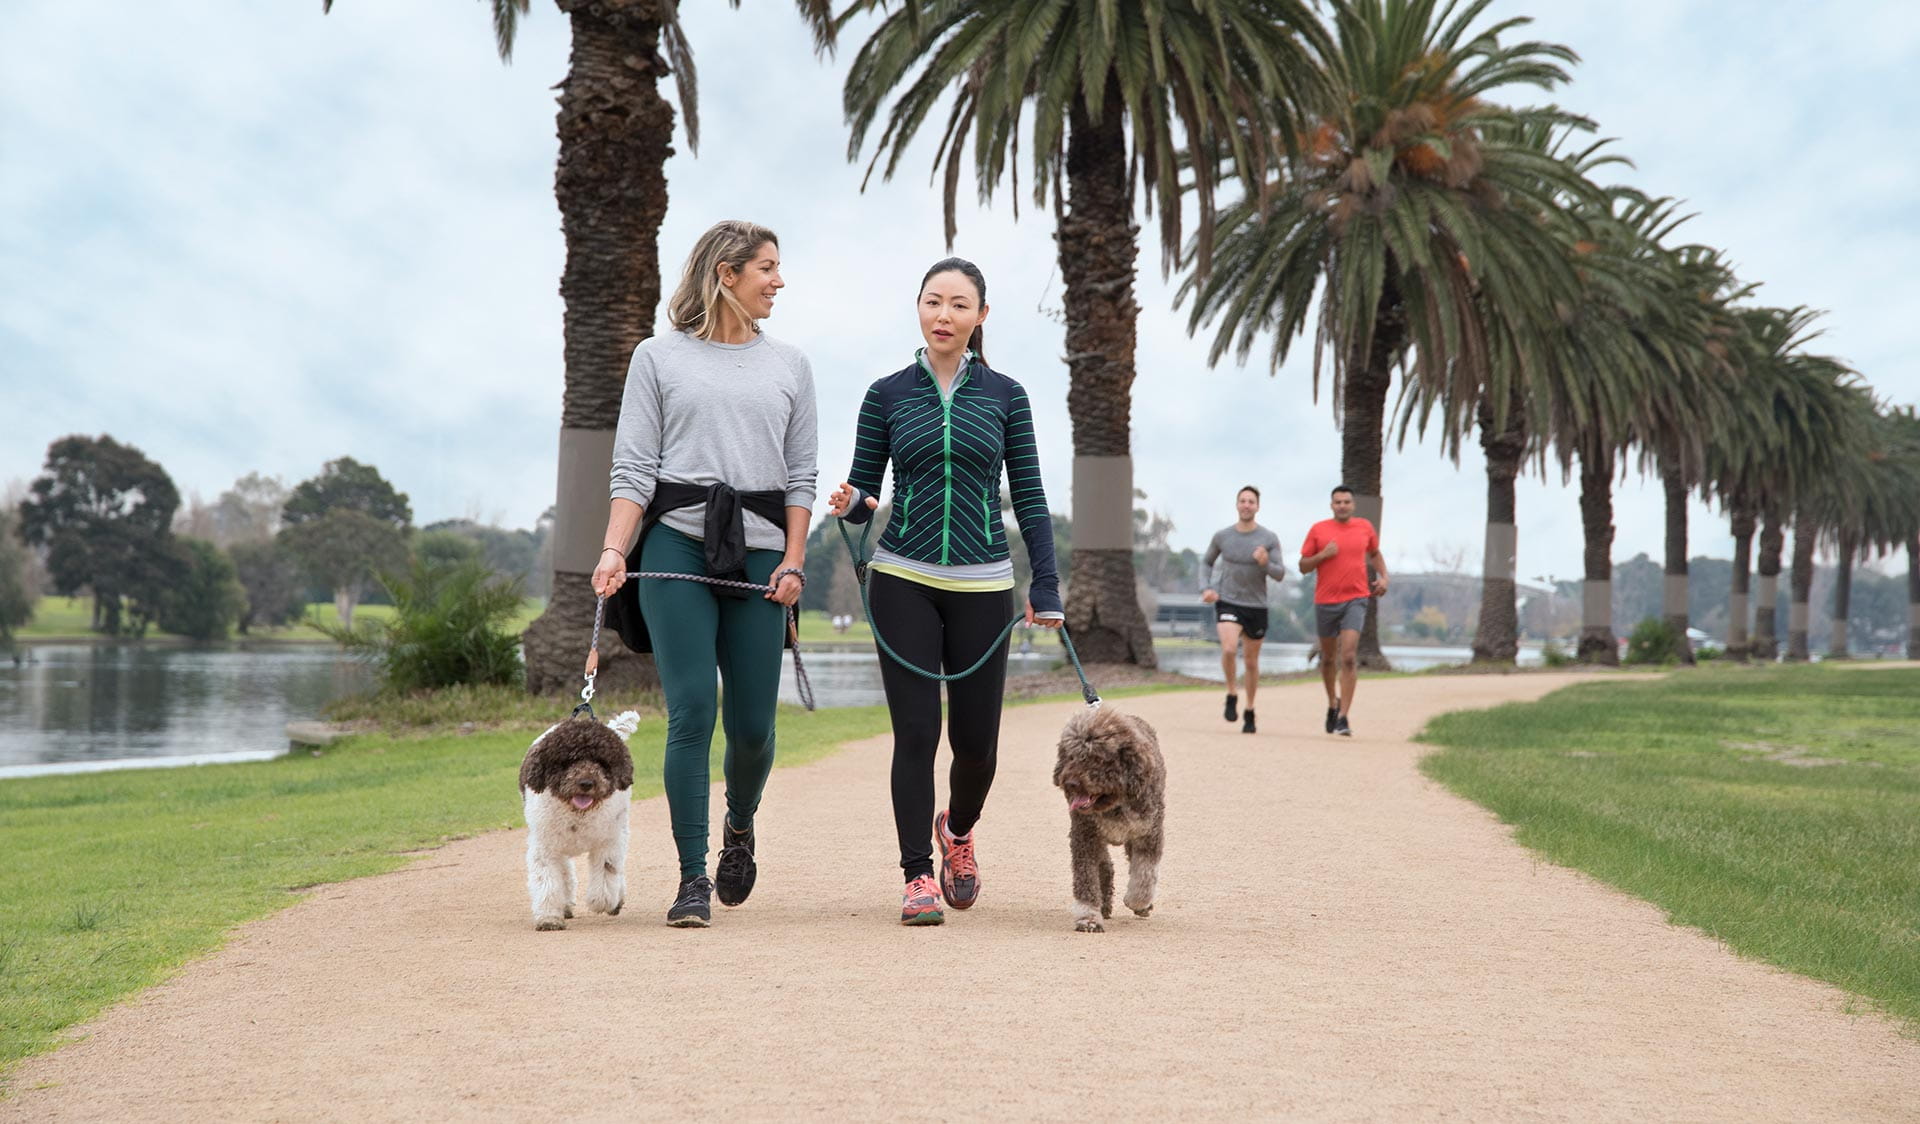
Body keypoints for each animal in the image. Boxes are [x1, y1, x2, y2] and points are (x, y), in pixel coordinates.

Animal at [1052, 699, 1167, 929]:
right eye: (1070, 756)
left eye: (1096, 758)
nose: (1070, 782)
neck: (1114, 804)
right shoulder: (1085, 836)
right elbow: (1086, 879)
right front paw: (1088, 917)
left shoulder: (1148, 834)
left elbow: (1144, 873)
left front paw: (1138, 901)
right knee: (1106, 867)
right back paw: (1103, 905)